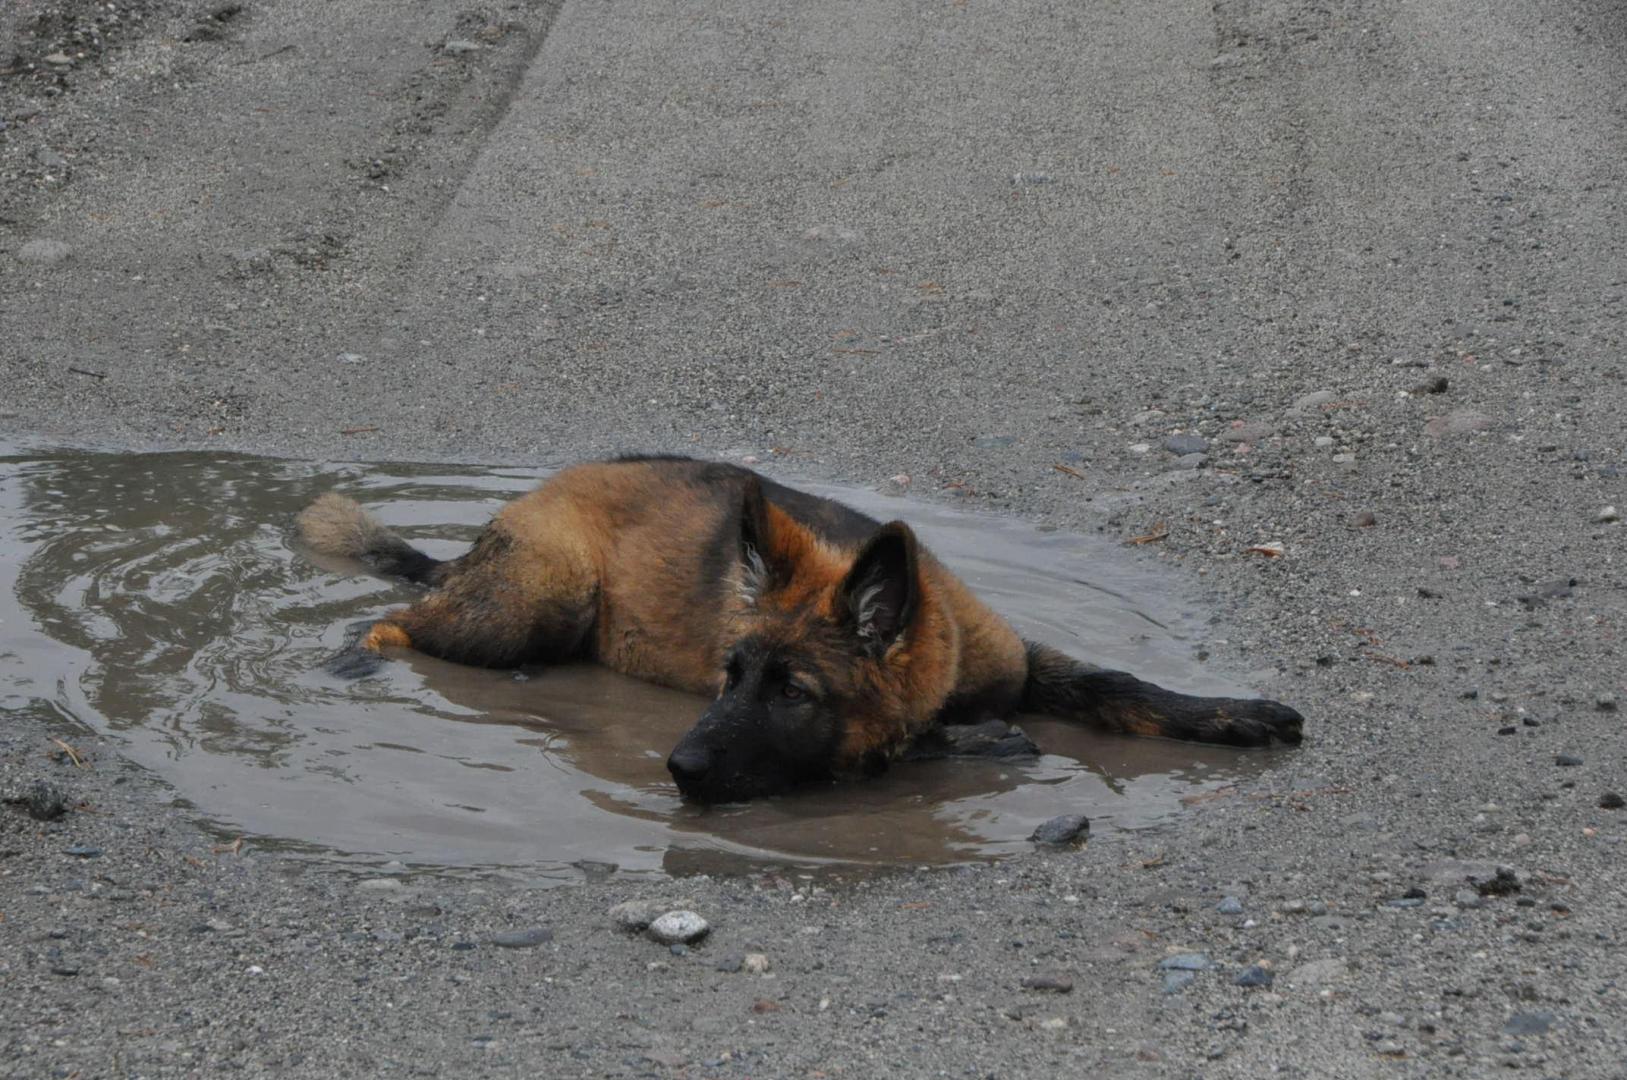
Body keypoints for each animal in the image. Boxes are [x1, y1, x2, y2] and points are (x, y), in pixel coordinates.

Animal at [296, 455, 1302, 803]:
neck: (940, 661)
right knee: (396, 620)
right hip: (542, 600)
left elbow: (1117, 685)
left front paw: (1230, 714)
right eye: (728, 678)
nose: (676, 770)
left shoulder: (1022, 666)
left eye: (791, 692)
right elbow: (904, 744)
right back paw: (356, 659)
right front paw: (985, 744)